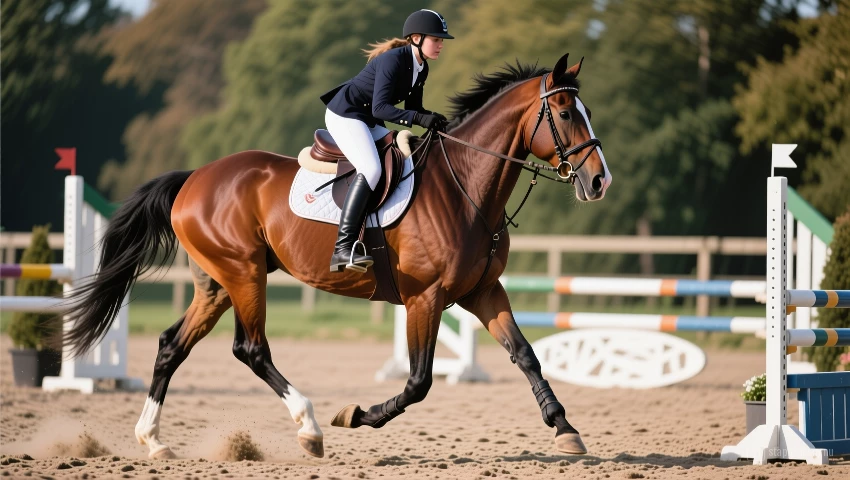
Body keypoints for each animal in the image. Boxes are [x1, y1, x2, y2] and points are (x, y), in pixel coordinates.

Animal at [63, 52, 611, 460]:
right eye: (566, 113)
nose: (599, 182)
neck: (466, 187)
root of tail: (193, 178)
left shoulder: (481, 291)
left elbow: (525, 354)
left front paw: (565, 429)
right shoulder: (426, 298)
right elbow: (419, 381)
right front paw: (356, 415)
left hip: (217, 283)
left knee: (172, 346)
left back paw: (153, 441)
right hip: (244, 275)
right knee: (251, 349)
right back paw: (309, 428)